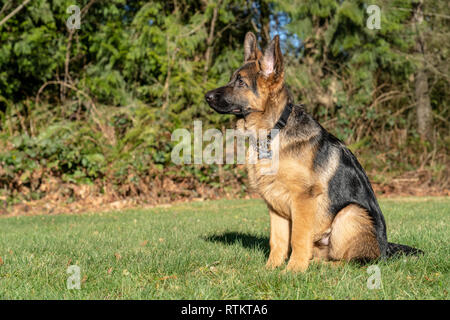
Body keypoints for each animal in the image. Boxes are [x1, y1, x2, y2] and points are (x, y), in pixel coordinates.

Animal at [204, 31, 422, 272]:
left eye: (241, 82)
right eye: (232, 79)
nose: (206, 96)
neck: (274, 131)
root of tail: (385, 251)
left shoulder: (303, 199)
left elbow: (298, 237)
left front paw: (293, 271)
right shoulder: (275, 205)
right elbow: (278, 240)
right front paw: (271, 269)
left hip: (350, 213)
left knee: (354, 261)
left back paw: (321, 267)